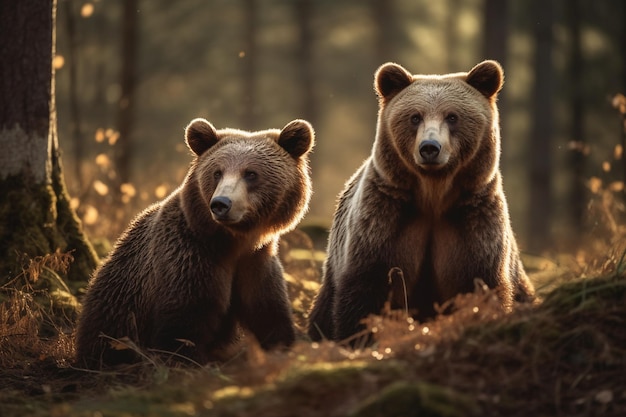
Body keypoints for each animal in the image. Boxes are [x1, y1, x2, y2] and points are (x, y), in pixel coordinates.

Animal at [75, 117, 314, 368]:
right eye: (217, 172)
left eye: (250, 173)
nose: (221, 203)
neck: (233, 242)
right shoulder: (189, 260)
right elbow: (184, 328)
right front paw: (190, 362)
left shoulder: (255, 263)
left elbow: (268, 314)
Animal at [308, 60, 532, 342]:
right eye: (415, 117)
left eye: (452, 116)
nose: (430, 147)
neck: (433, 194)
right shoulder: (384, 220)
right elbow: (364, 293)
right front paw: (359, 338)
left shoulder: (473, 221)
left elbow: (483, 284)